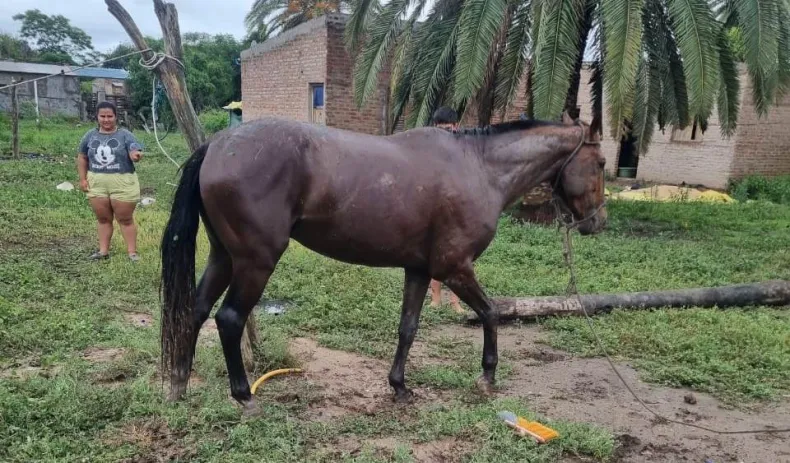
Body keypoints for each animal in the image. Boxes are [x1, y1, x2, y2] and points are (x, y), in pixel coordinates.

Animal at [159, 110, 607, 415]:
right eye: (602, 163)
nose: (596, 222)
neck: (478, 166)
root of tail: (217, 146)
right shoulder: (455, 268)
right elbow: (492, 313)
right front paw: (486, 376)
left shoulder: (420, 271)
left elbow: (408, 329)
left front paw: (399, 386)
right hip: (255, 263)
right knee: (229, 319)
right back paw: (244, 396)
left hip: (223, 257)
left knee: (195, 312)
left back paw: (179, 384)